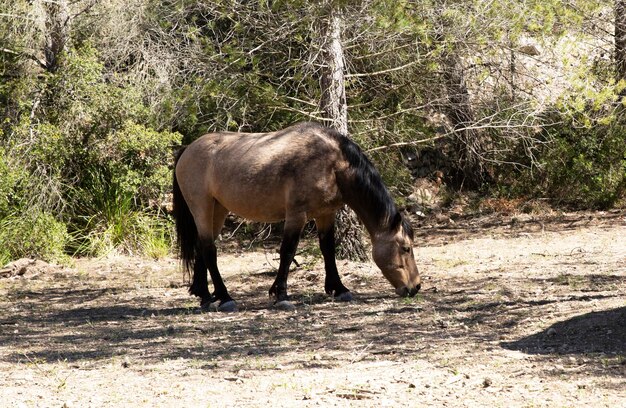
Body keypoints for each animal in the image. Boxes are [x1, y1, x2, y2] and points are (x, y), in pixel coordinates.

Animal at [172, 122, 420, 310]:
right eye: (406, 248)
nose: (415, 287)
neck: (333, 164)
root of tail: (187, 150)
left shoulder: (326, 214)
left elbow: (328, 250)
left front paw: (339, 288)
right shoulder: (296, 216)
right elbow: (287, 252)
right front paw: (281, 294)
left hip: (218, 210)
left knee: (202, 247)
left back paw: (204, 296)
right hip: (202, 207)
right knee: (209, 249)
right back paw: (225, 297)